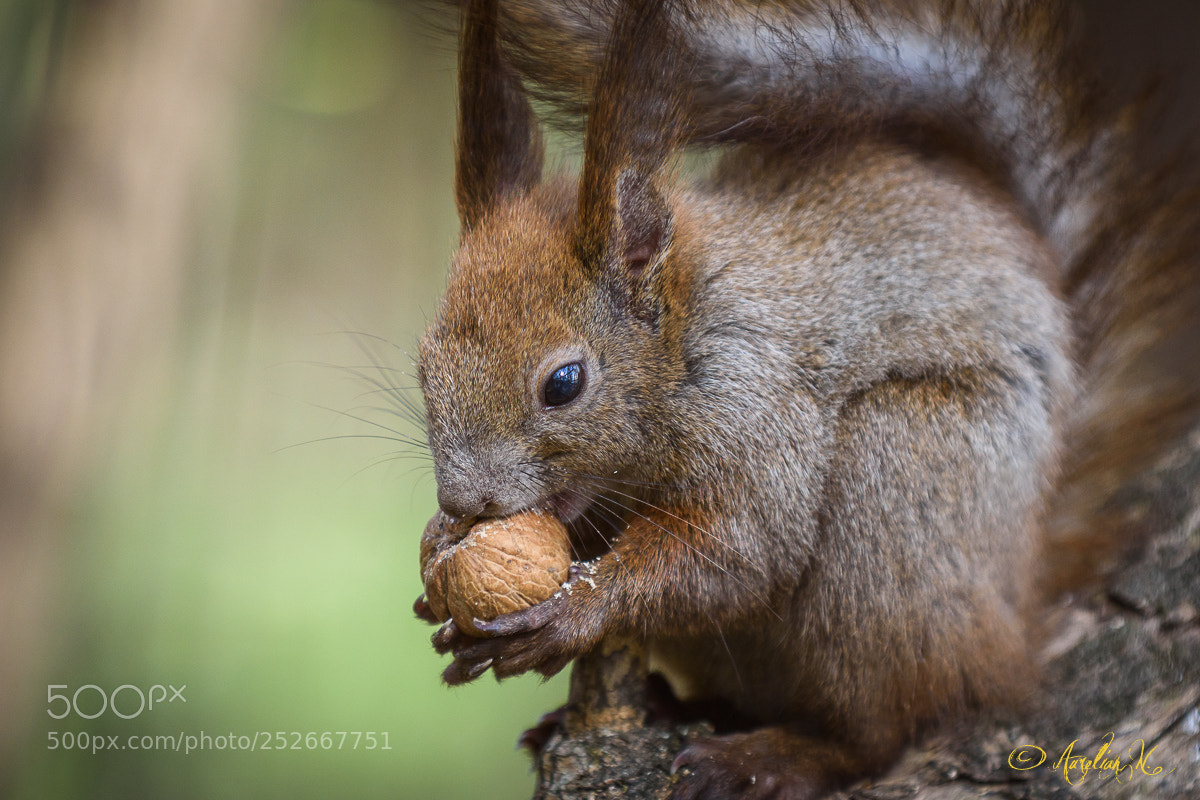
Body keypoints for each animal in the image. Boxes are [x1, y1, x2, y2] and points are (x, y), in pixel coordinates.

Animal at [412, 0, 1200, 797]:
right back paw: (669, 708)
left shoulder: (764, 409)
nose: (464, 501)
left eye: (564, 384)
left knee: (883, 728)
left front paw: (574, 610)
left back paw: (773, 757)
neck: (689, 340)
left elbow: (741, 550)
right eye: (423, 367)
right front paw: (439, 563)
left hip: (894, 494)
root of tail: (1015, 605)